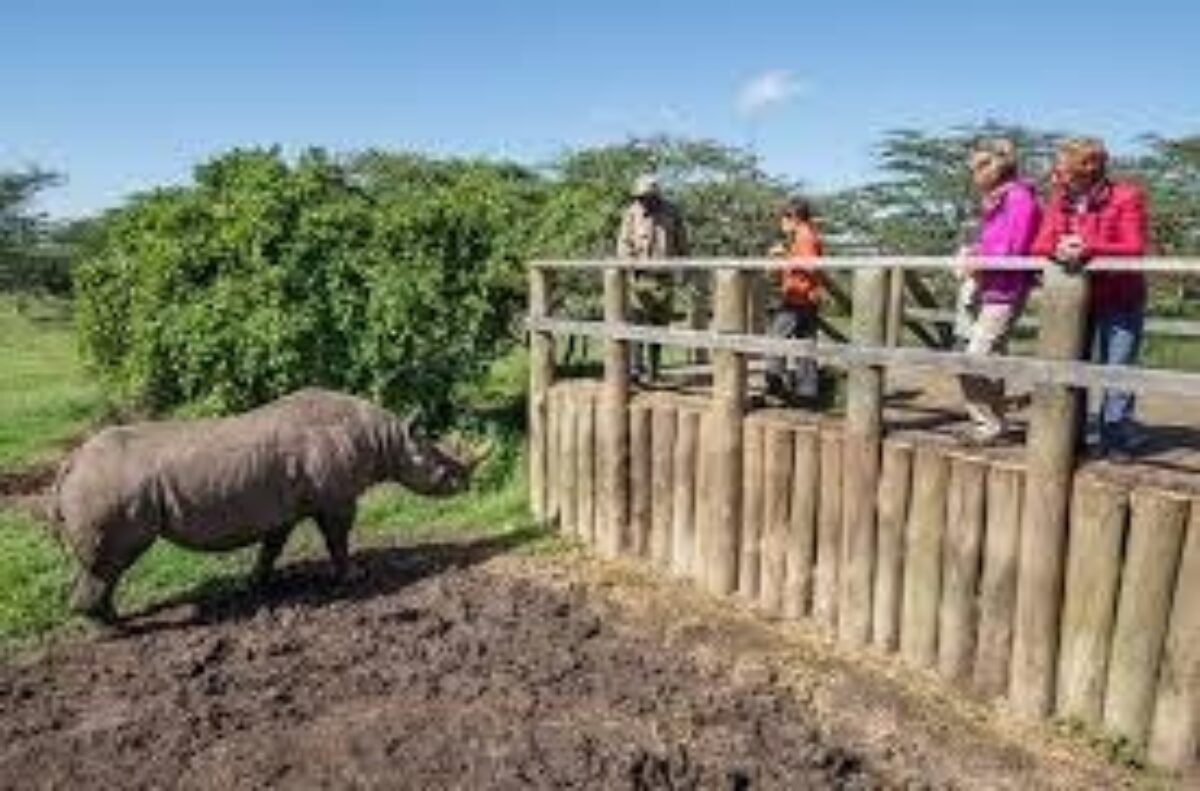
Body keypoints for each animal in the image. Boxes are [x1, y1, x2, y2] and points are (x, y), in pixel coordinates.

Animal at [52, 388, 478, 623]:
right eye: (442, 469)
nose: (466, 485)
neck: (386, 438)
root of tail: (71, 463)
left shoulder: (282, 508)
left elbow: (272, 547)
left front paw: (256, 583)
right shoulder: (336, 499)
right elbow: (338, 540)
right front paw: (353, 578)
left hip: (102, 483)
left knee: (106, 565)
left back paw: (110, 616)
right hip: (108, 487)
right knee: (113, 560)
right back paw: (111, 623)